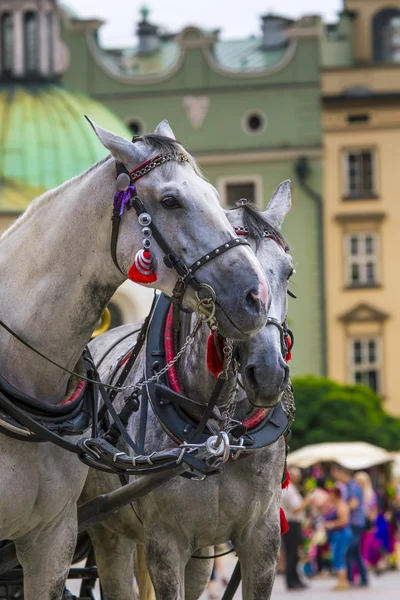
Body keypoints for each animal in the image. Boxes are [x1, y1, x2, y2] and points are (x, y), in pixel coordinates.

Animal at [81, 180, 294, 596]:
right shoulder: (165, 542)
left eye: (288, 272)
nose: (268, 373)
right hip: (108, 532)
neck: (218, 432)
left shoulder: (262, 537)